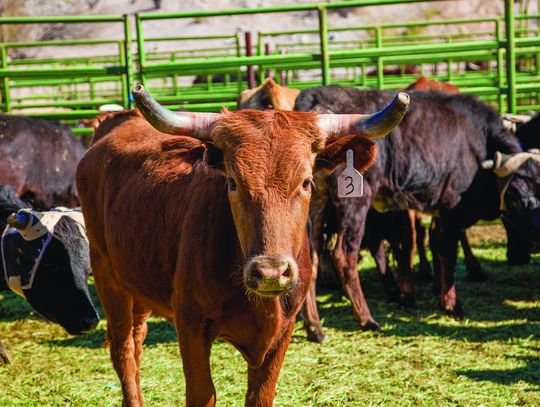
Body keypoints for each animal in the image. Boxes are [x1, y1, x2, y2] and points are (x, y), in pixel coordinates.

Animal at [77, 84, 410, 406]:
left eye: (306, 182)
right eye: (233, 182)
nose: (271, 273)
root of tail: (115, 121)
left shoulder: (283, 332)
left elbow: (260, 396)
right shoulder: (190, 325)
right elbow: (202, 393)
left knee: (136, 340)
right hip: (107, 275)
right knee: (123, 350)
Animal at [296, 87, 540, 334]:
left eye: (538, 187)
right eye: (514, 194)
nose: (534, 242)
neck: (479, 144)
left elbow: (438, 249)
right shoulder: (450, 210)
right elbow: (448, 253)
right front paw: (453, 305)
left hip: (316, 204)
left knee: (311, 260)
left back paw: (315, 328)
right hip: (354, 203)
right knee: (344, 256)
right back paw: (366, 319)